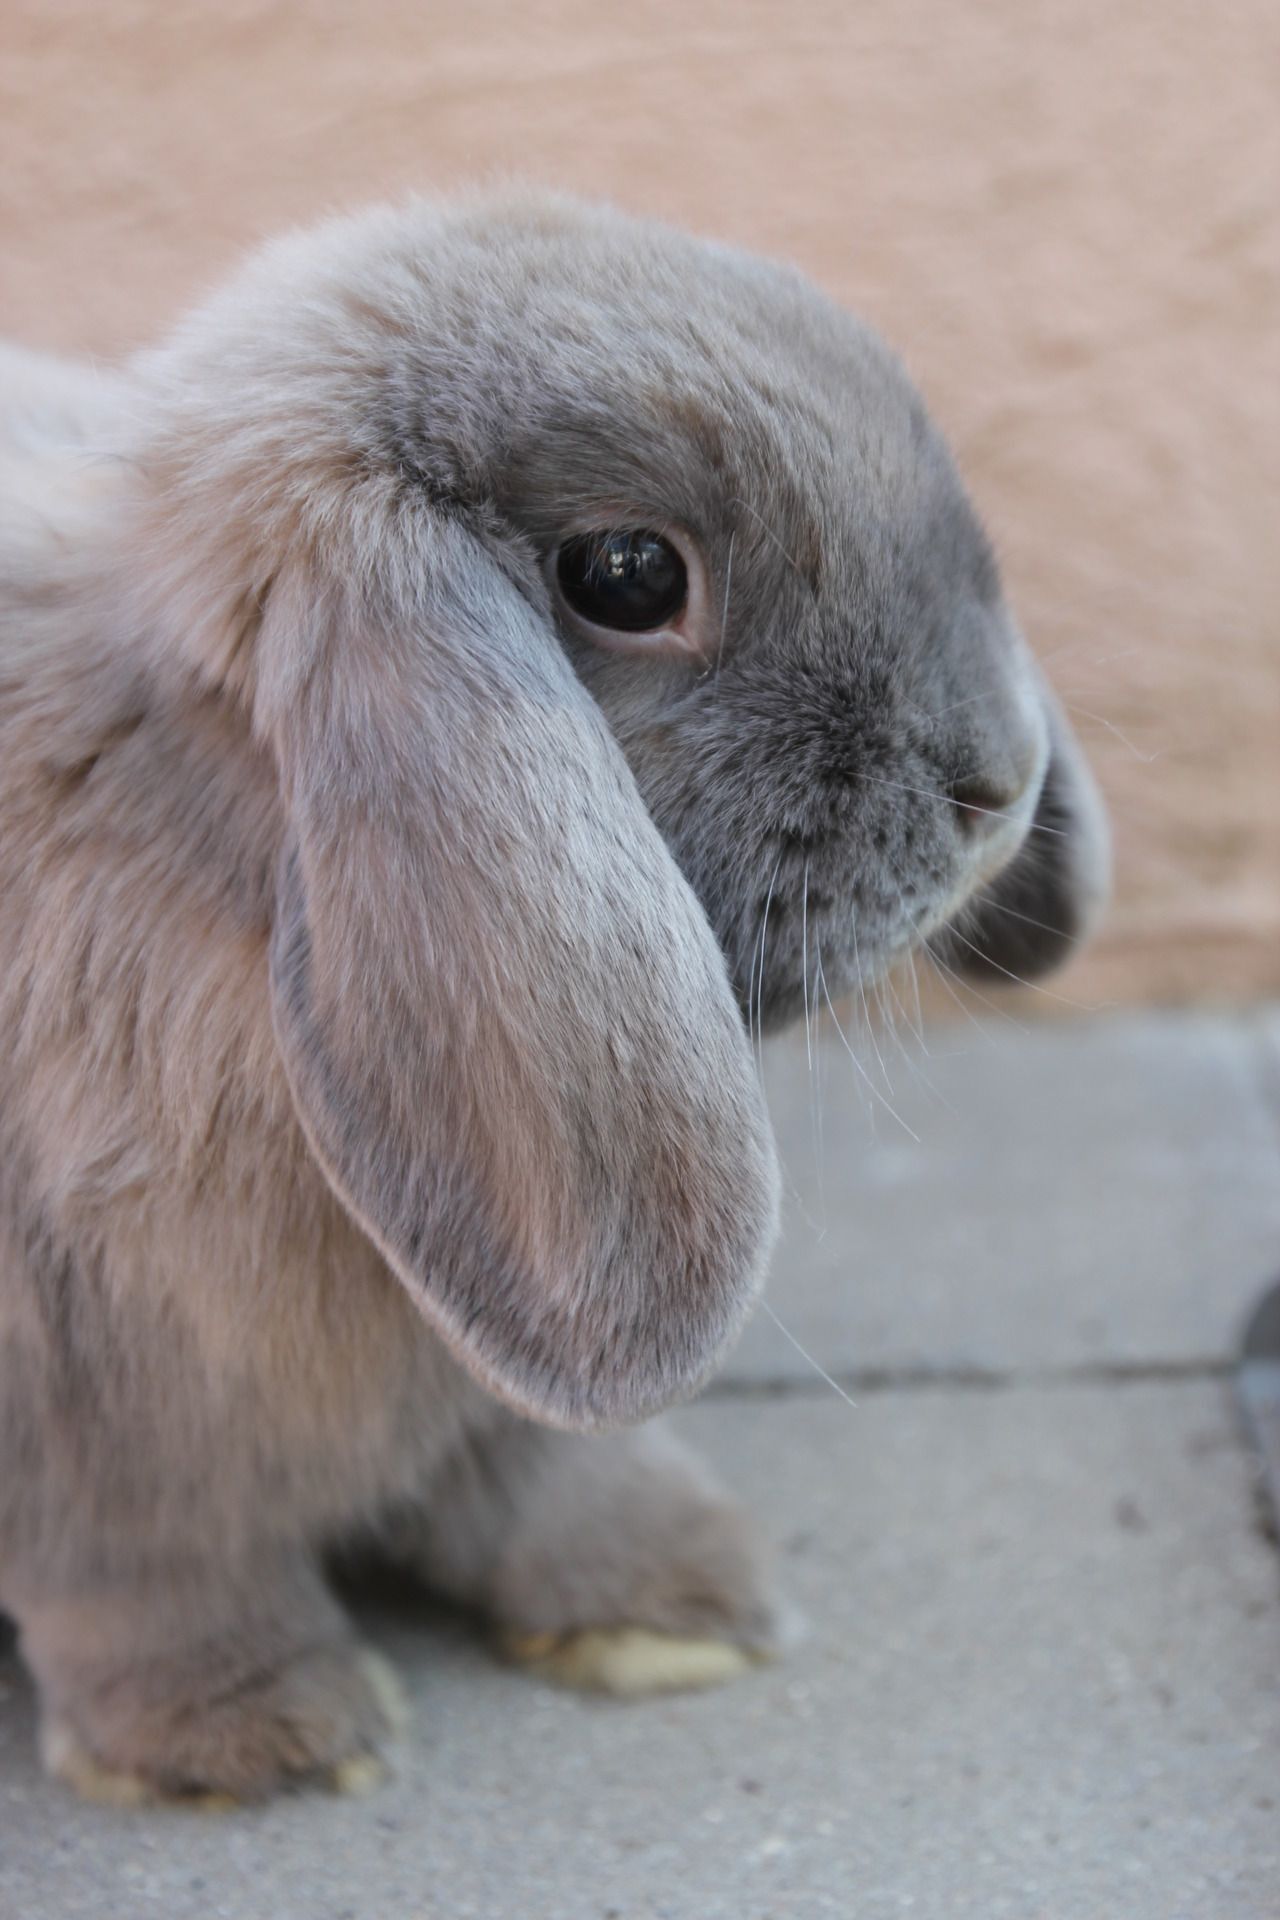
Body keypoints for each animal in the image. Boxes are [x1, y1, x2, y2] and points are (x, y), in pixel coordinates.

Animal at [0, 187, 1105, 1804]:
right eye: (628, 576)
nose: (999, 782)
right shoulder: (99, 1436)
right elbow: (146, 1577)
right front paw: (260, 1737)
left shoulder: (487, 1375)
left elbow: (539, 1476)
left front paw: (675, 1605)